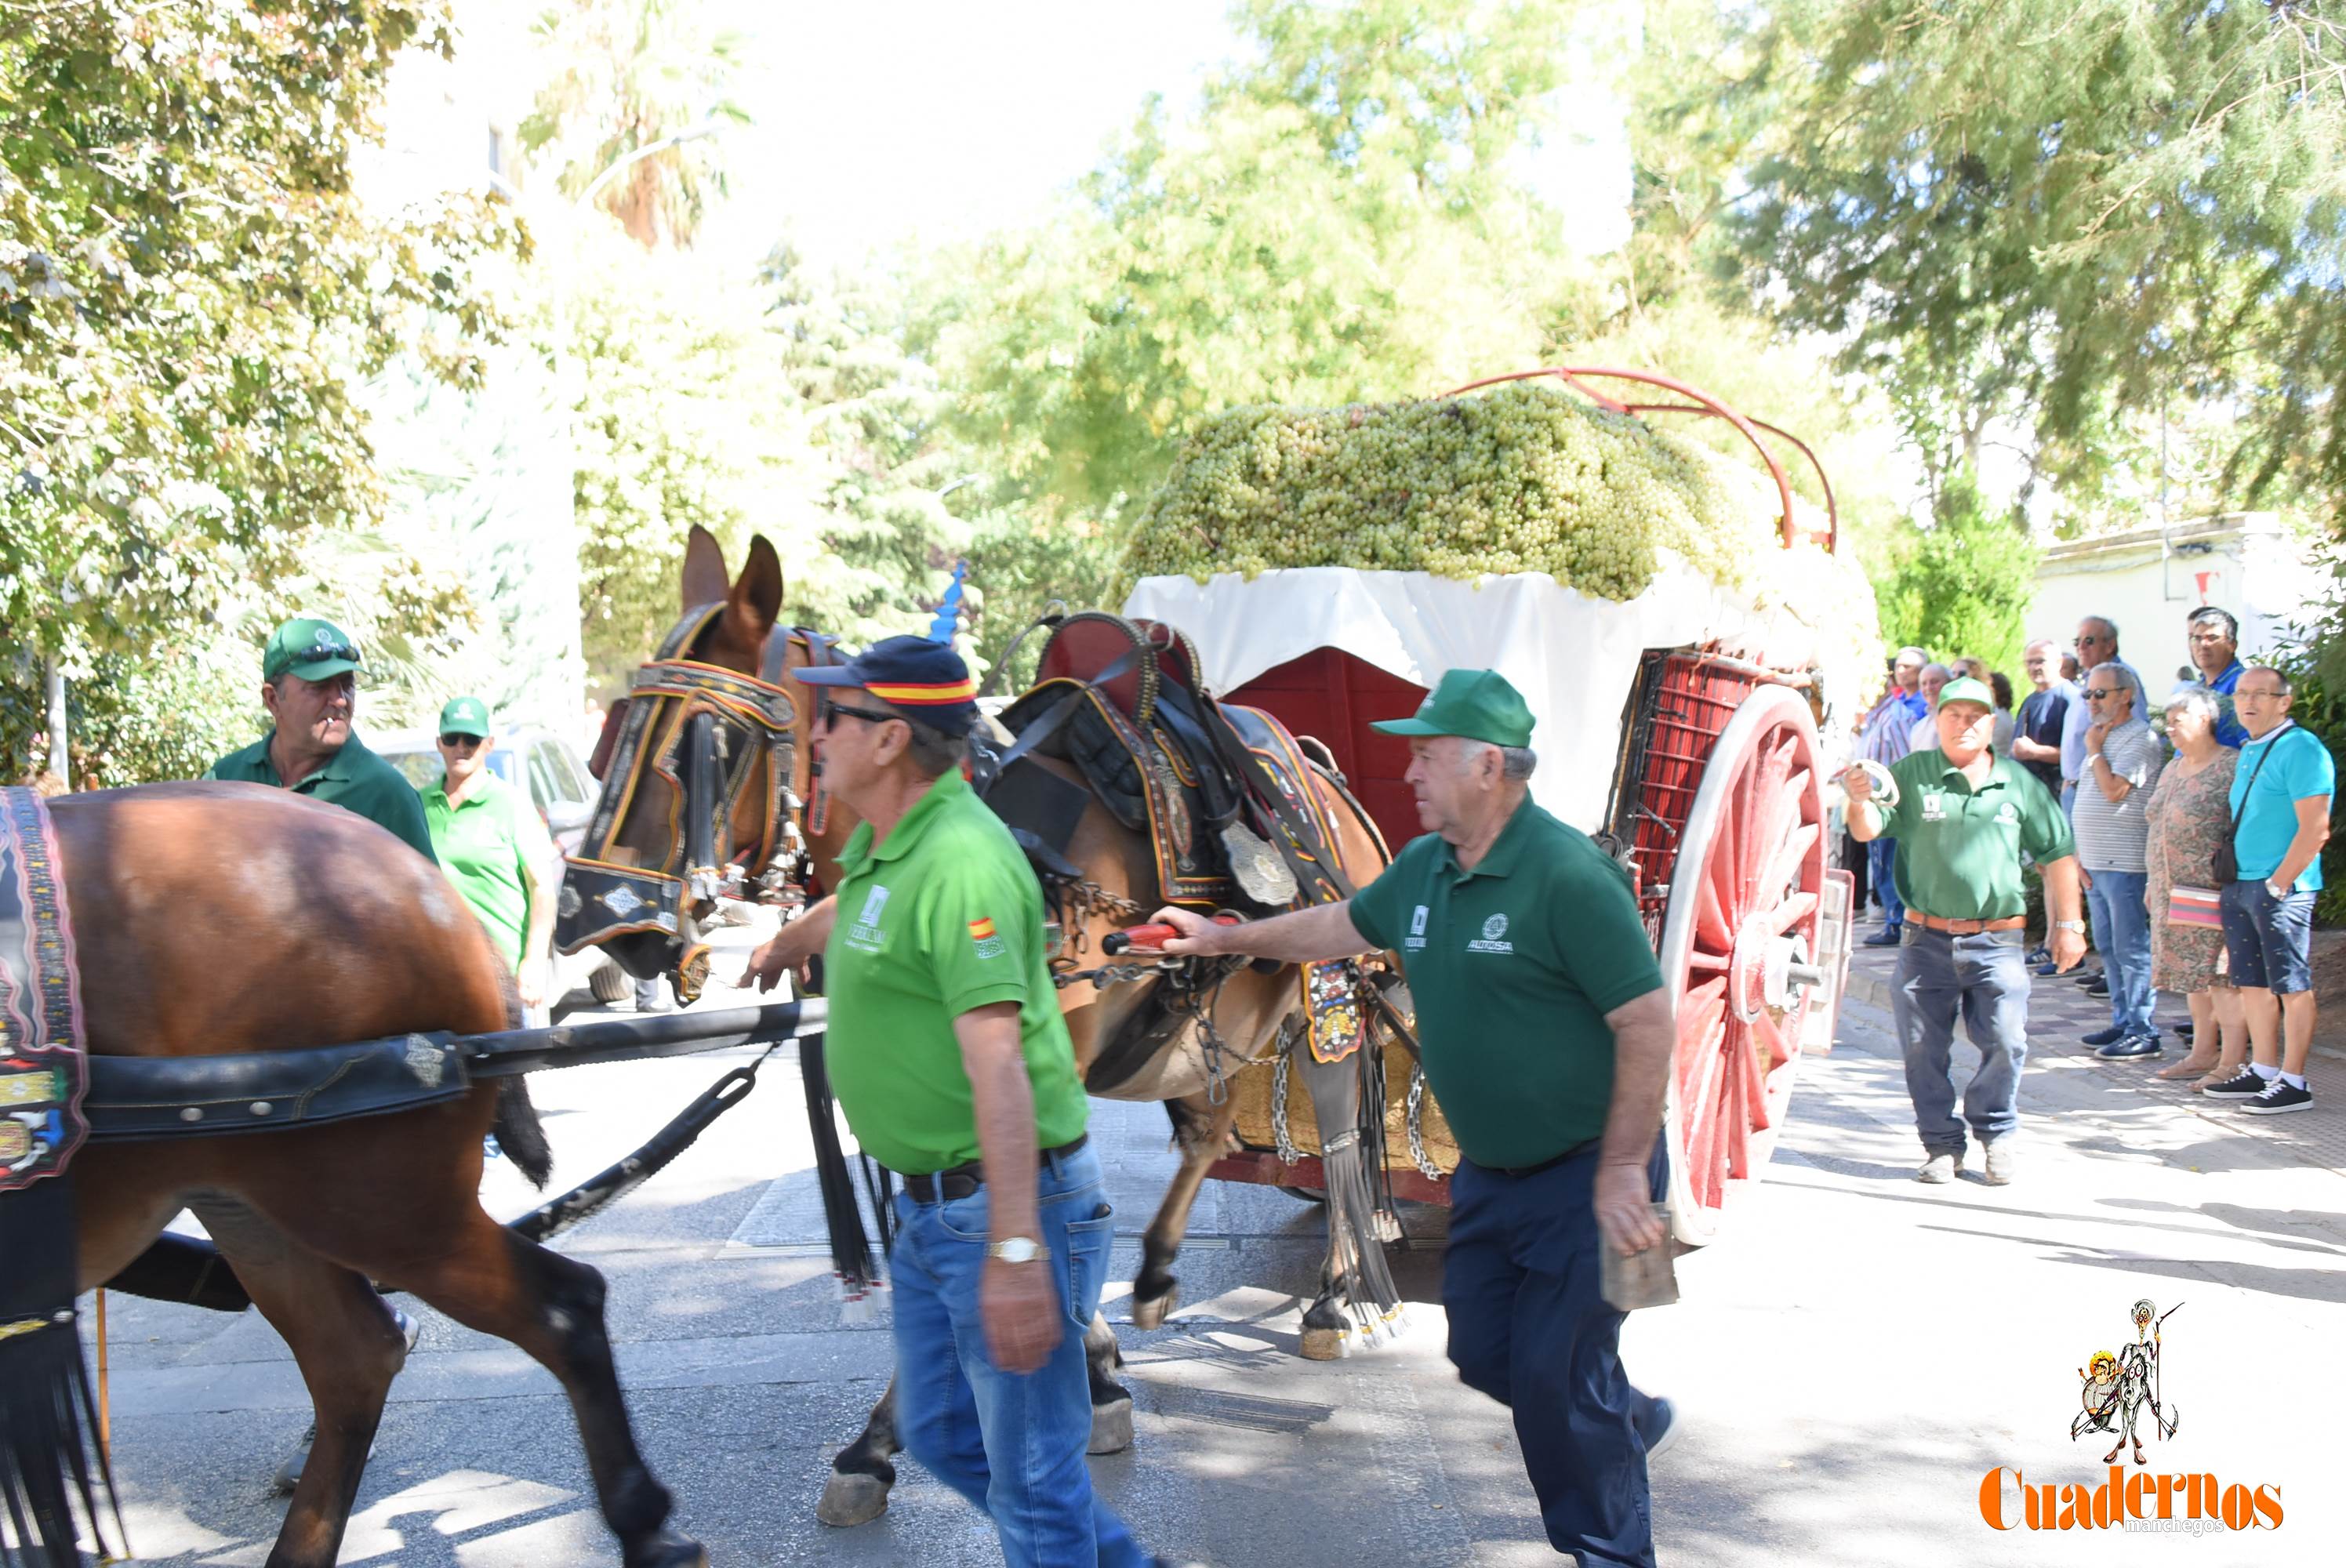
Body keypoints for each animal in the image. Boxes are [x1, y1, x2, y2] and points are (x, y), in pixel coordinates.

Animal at [48, 788, 703, 1559]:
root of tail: (435, 893)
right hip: (260, 1203)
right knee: (354, 1358)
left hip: (379, 1204)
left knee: (561, 1304)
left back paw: (644, 1523)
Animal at [570, 525, 1398, 1530]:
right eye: (609, 734)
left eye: (703, 746)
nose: (605, 919)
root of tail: (1313, 768)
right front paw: (1094, 1370)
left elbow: (1027, 1210)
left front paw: (888, 1435)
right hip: (1206, 1023)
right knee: (1207, 1133)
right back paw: (1158, 1273)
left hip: (1329, 1000)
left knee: (1341, 1137)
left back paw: (1331, 1295)